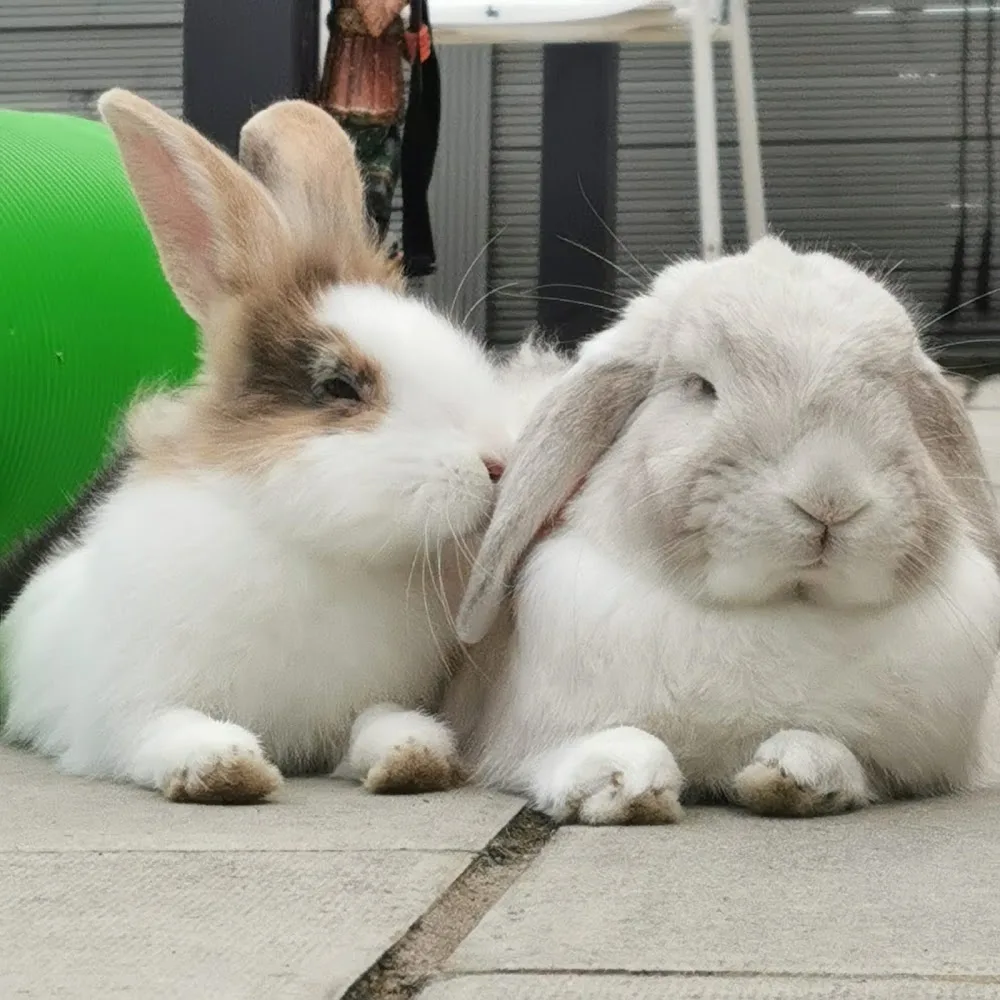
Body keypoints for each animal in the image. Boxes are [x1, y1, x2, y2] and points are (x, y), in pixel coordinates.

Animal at [0, 90, 566, 805]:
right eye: (340, 386)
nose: (497, 464)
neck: (314, 549)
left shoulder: (369, 699)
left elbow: (383, 721)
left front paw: (414, 757)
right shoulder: (122, 711)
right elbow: (162, 730)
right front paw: (222, 767)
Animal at [445, 236, 1000, 825]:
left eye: (899, 397)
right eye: (700, 386)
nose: (830, 497)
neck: (778, 609)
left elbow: (839, 757)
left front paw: (798, 772)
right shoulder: (528, 735)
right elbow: (582, 750)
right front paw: (624, 781)